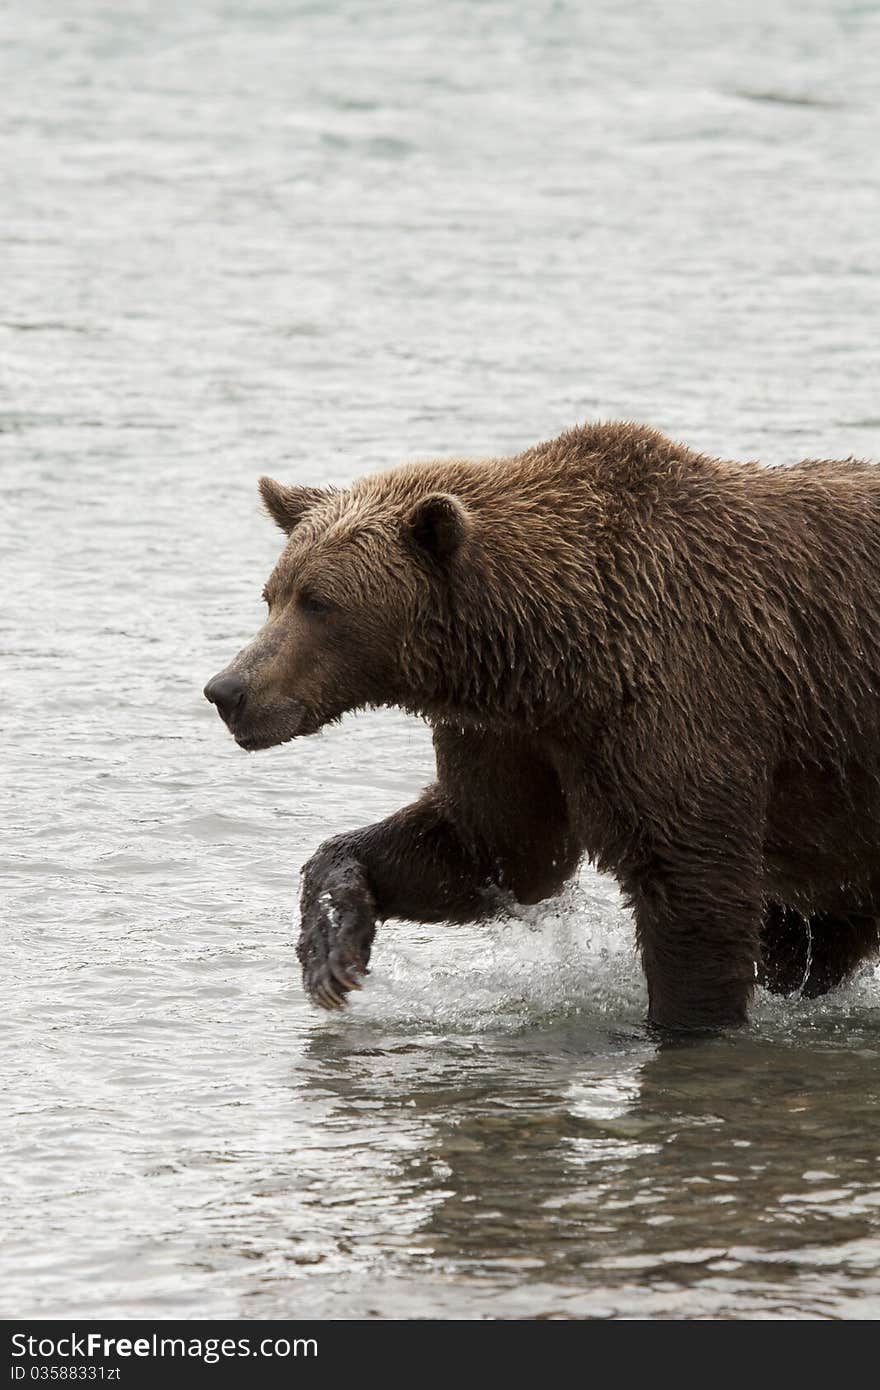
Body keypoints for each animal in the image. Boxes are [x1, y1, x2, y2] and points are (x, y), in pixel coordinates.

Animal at [202, 422, 878, 1034]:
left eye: (320, 602)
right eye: (272, 594)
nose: (227, 691)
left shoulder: (681, 699)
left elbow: (695, 886)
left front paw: (686, 1022)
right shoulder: (511, 736)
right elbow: (494, 848)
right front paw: (332, 946)